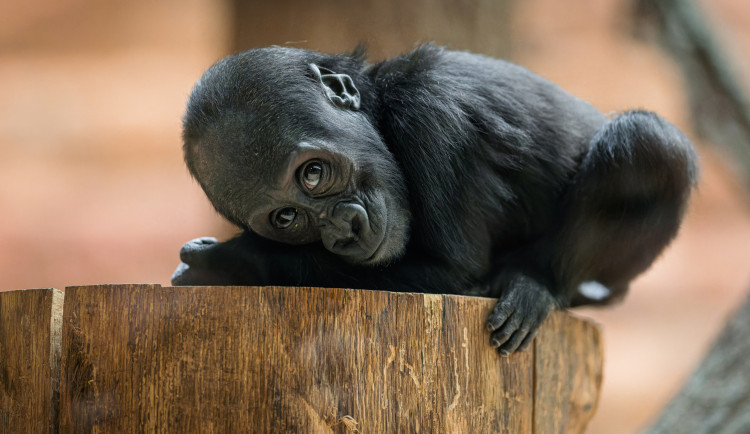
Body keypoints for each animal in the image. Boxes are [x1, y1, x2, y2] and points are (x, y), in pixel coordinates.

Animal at [175, 44, 700, 356]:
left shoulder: (432, 114)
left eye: (314, 173)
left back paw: (535, 283)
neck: (383, 108)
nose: (343, 229)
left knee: (646, 144)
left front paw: (233, 261)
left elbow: (454, 271)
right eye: (287, 217)